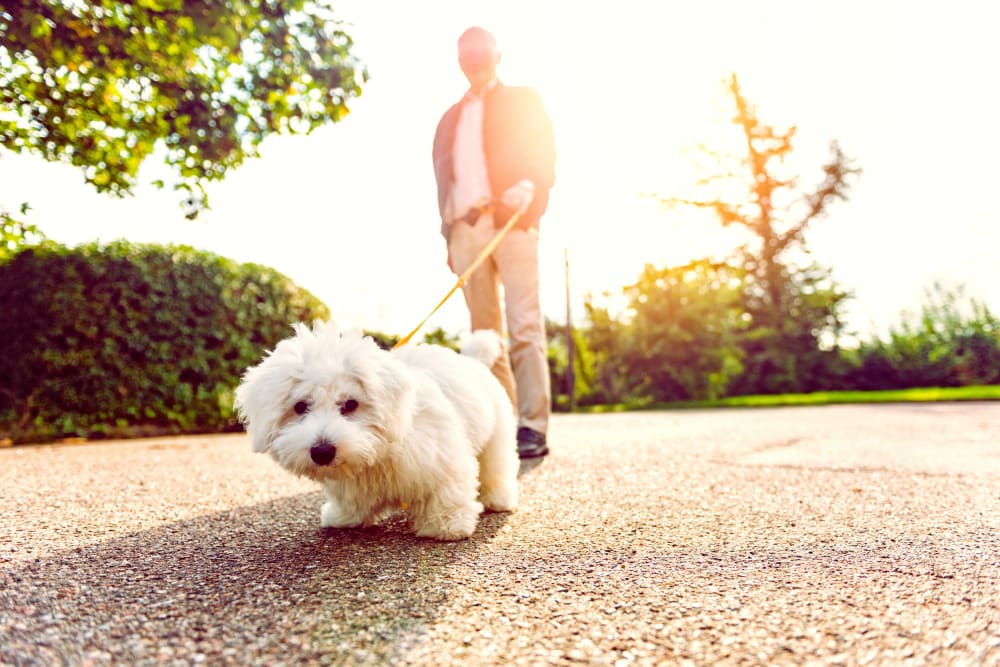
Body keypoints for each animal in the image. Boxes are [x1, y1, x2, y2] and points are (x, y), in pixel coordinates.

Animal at [232, 324, 516, 544]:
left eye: (350, 404)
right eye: (300, 407)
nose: (322, 451)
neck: (379, 453)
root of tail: (473, 361)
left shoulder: (441, 458)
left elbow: (446, 492)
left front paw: (447, 524)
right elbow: (351, 499)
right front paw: (344, 517)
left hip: (497, 437)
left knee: (495, 469)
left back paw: (498, 499)